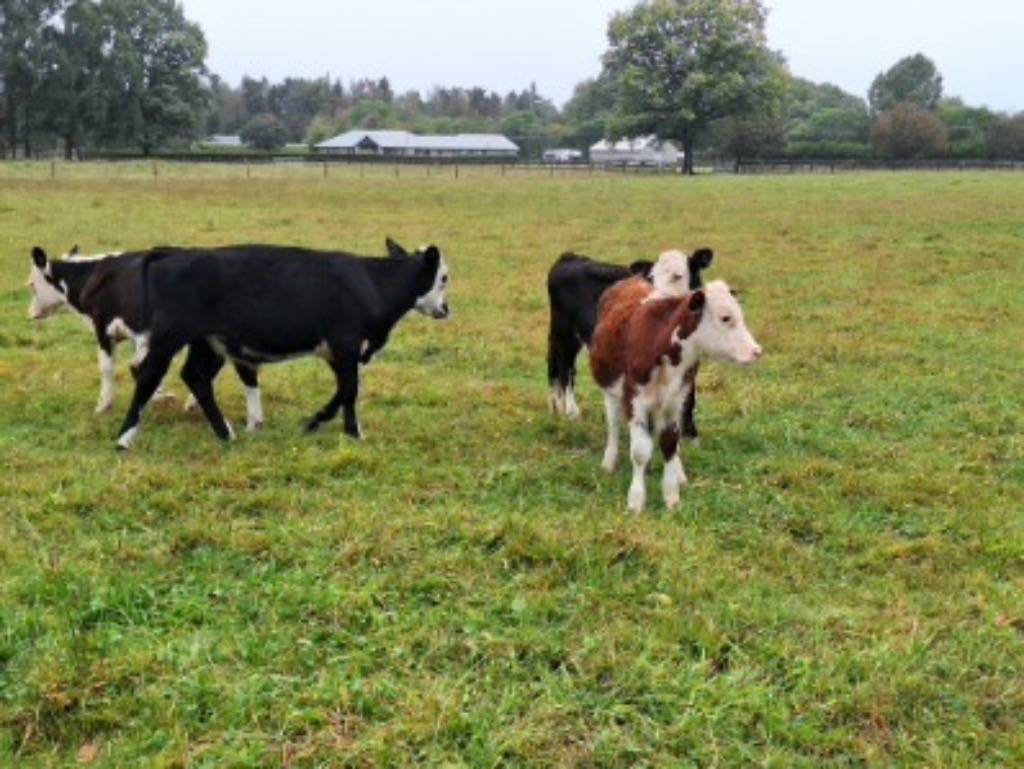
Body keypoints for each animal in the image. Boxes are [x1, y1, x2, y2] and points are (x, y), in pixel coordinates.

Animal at [27, 246, 264, 429]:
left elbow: (112, 367)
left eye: (32, 284)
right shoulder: (136, 336)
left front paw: (104, 405)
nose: (30, 313)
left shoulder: (105, 328)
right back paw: (194, 403)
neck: (94, 275)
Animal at [101, 238, 451, 450]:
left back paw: (225, 433)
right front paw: (323, 423)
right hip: (170, 336)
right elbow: (350, 389)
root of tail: (174, 253)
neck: (371, 282)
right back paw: (124, 439)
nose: (446, 310)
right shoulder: (346, 345)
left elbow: (347, 391)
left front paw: (347, 430)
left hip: (207, 342)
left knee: (196, 377)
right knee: (149, 374)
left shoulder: (339, 353)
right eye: (444, 277)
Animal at [546, 247, 713, 433]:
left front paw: (689, 432)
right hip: (565, 334)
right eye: (651, 278)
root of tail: (570, 257)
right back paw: (570, 412)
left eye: (678, 276)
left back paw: (556, 409)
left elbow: (689, 395)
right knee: (565, 370)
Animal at [589, 277, 761, 513]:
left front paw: (671, 496)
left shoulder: (674, 402)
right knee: (613, 424)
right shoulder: (634, 399)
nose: (757, 351)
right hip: (610, 391)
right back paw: (609, 461)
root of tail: (631, 280)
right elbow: (640, 452)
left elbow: (670, 444)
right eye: (725, 317)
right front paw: (636, 500)